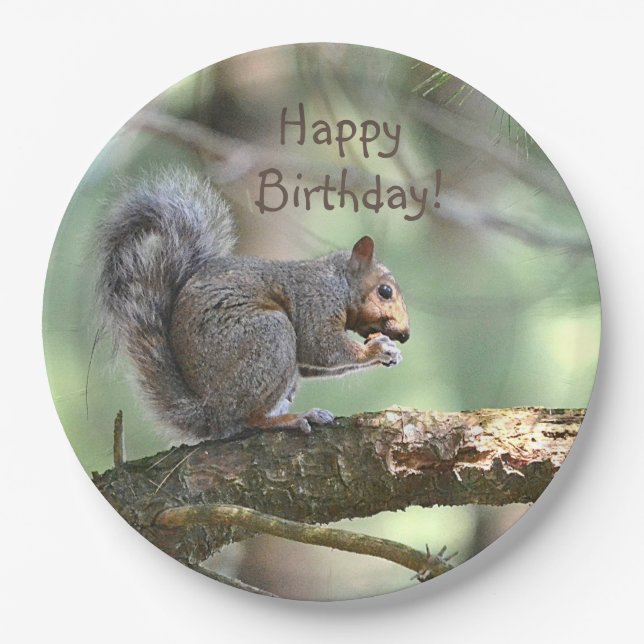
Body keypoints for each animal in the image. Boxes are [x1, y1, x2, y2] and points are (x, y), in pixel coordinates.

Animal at [95, 168, 410, 443]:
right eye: (385, 291)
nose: (405, 335)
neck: (339, 282)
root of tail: (211, 410)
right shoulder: (315, 302)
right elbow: (319, 346)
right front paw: (377, 349)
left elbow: (311, 362)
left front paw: (390, 353)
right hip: (270, 337)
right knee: (250, 419)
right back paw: (292, 419)